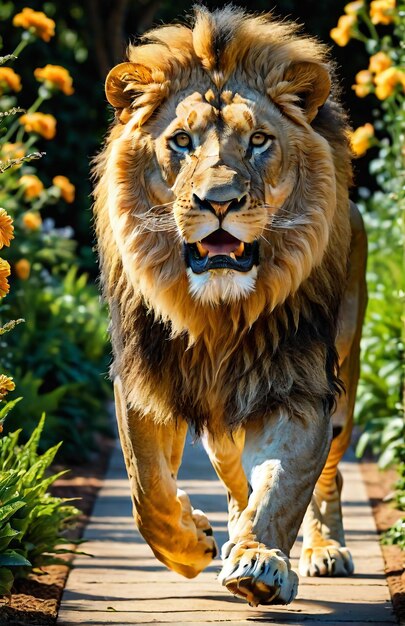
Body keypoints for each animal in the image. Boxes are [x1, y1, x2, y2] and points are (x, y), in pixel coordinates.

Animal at [92, 6, 366, 604]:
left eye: (259, 140)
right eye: (181, 141)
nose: (219, 202)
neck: (216, 314)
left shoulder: (300, 384)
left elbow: (284, 485)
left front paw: (260, 561)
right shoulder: (143, 380)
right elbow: (147, 490)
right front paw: (191, 543)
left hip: (343, 390)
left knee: (329, 477)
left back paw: (323, 548)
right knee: (234, 475)